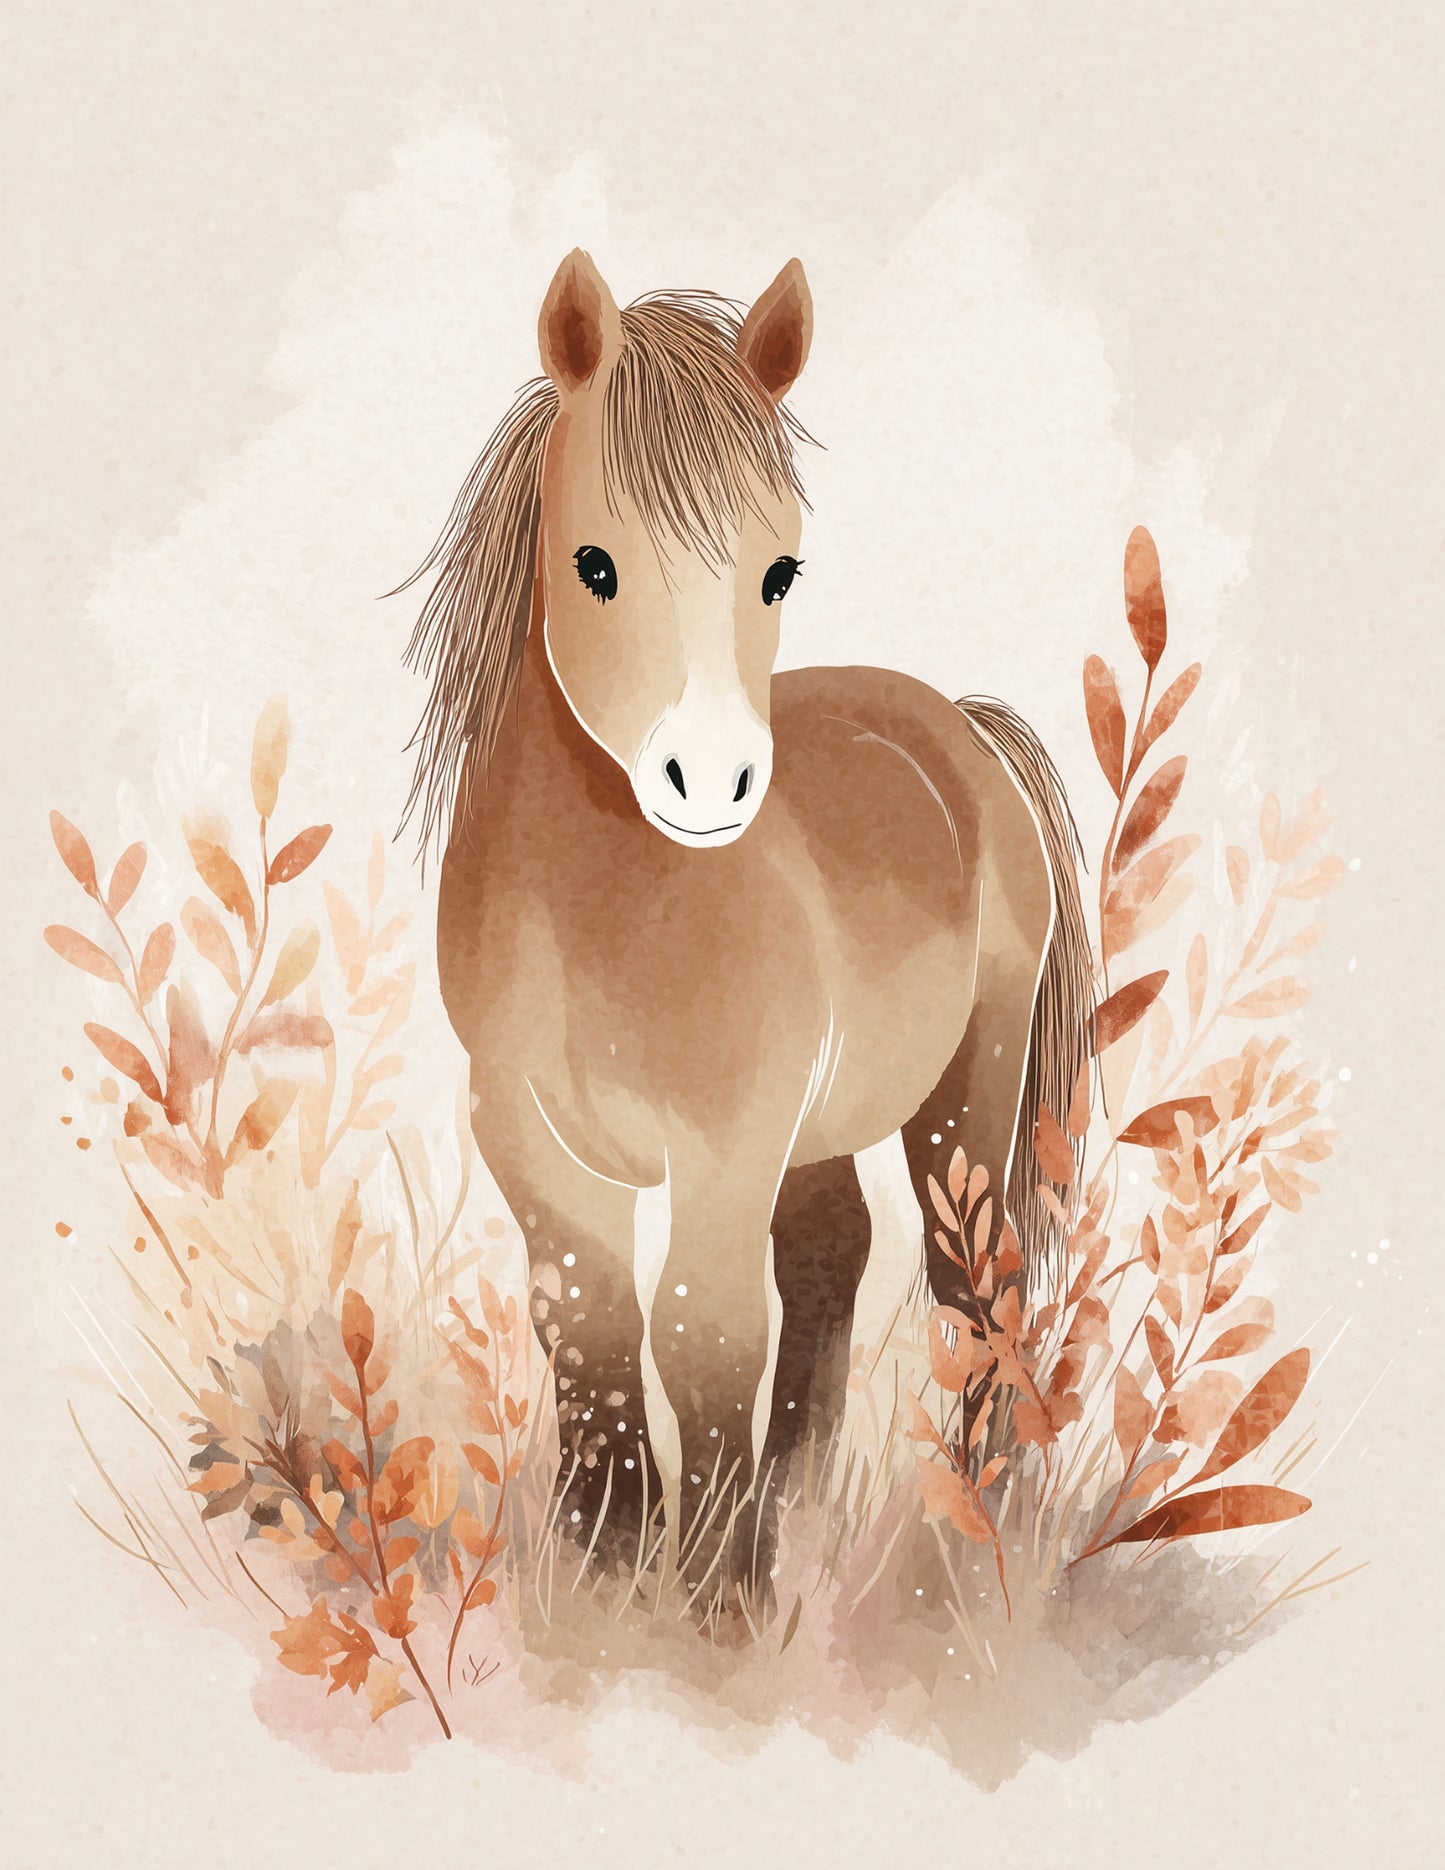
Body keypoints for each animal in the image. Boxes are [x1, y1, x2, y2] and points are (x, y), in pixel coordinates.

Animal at [399, 250, 1092, 1608]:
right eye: (593, 564)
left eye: (780, 572)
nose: (712, 784)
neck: (597, 911)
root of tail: (957, 723)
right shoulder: (524, 1133)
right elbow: (588, 1320)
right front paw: (606, 1563)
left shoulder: (723, 1141)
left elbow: (700, 1328)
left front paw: (713, 1596)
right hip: (816, 1127)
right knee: (832, 1252)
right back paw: (798, 1504)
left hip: (963, 1089)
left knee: (972, 1278)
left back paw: (961, 1526)